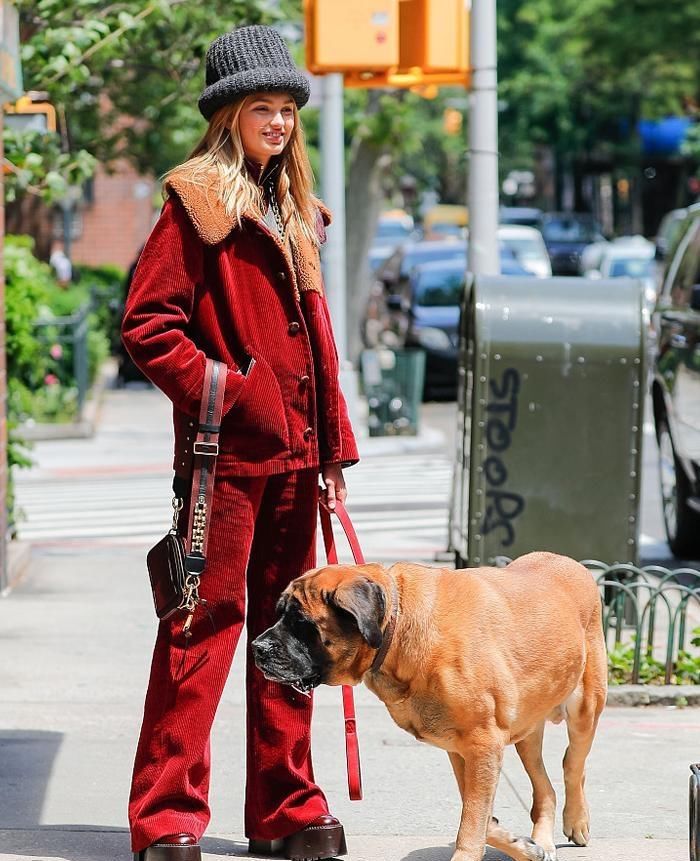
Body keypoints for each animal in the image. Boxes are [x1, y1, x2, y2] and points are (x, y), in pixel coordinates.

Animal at [252, 552, 608, 860]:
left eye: (301, 622)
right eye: (280, 614)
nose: (257, 647)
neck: (398, 627)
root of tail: (572, 563)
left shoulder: (483, 744)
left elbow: (473, 821)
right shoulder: (463, 750)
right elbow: (480, 815)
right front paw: (521, 845)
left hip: (585, 709)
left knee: (572, 765)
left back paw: (576, 820)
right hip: (528, 730)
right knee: (544, 787)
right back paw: (543, 840)